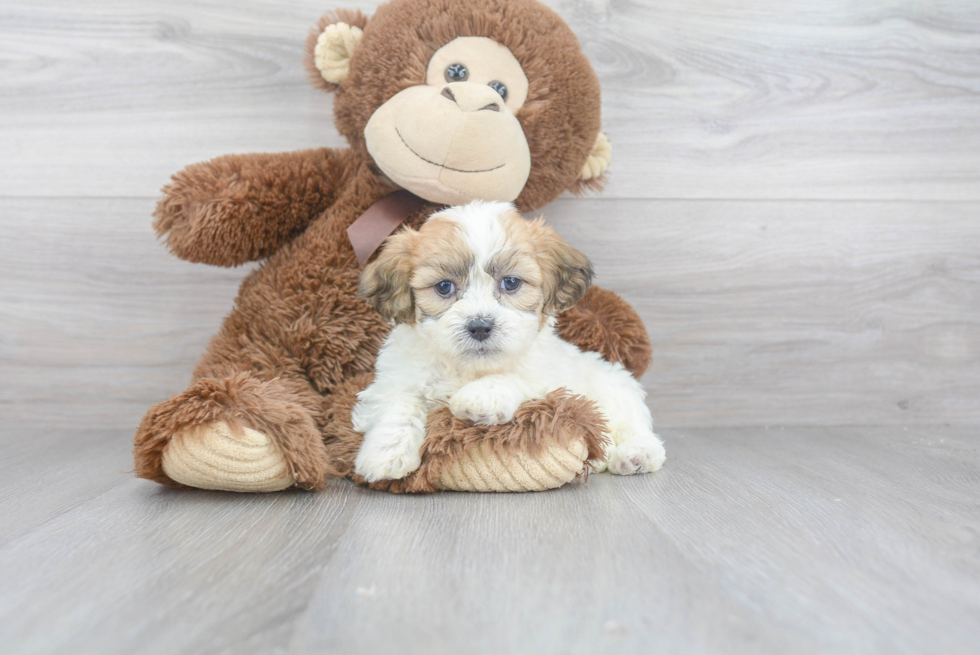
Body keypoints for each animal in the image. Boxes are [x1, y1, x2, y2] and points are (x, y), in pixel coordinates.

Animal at [352, 202, 668, 484]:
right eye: (444, 287)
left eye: (511, 283)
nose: (480, 326)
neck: (471, 369)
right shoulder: (394, 379)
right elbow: (399, 404)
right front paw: (386, 453)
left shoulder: (550, 382)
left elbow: (513, 377)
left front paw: (481, 397)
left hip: (615, 387)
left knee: (633, 424)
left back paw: (636, 454)